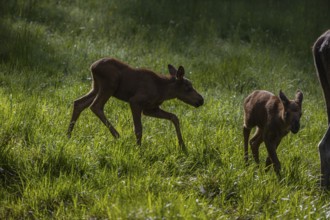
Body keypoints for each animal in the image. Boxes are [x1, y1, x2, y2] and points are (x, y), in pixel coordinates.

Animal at [67, 57, 204, 153]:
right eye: (188, 87)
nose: (201, 100)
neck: (162, 91)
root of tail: (92, 67)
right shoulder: (135, 101)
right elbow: (138, 129)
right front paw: (138, 149)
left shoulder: (150, 109)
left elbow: (174, 117)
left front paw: (182, 146)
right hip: (109, 85)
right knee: (95, 106)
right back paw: (117, 135)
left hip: (96, 87)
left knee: (79, 103)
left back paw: (68, 135)